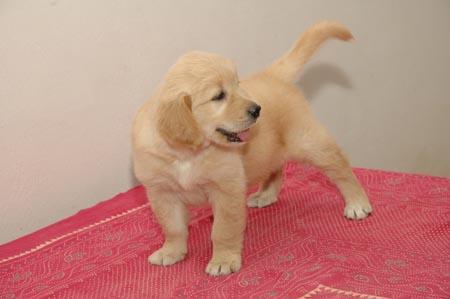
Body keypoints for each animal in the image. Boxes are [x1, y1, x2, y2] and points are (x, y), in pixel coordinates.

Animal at [133, 21, 372, 276]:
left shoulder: (227, 188)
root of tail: (272, 74)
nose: (257, 109)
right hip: (271, 150)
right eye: (219, 96)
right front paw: (171, 252)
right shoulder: (161, 192)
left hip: (310, 143)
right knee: (276, 167)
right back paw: (266, 194)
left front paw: (223, 260)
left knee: (341, 168)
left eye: (238, 85)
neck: (188, 154)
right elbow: (173, 227)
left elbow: (223, 229)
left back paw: (357, 203)